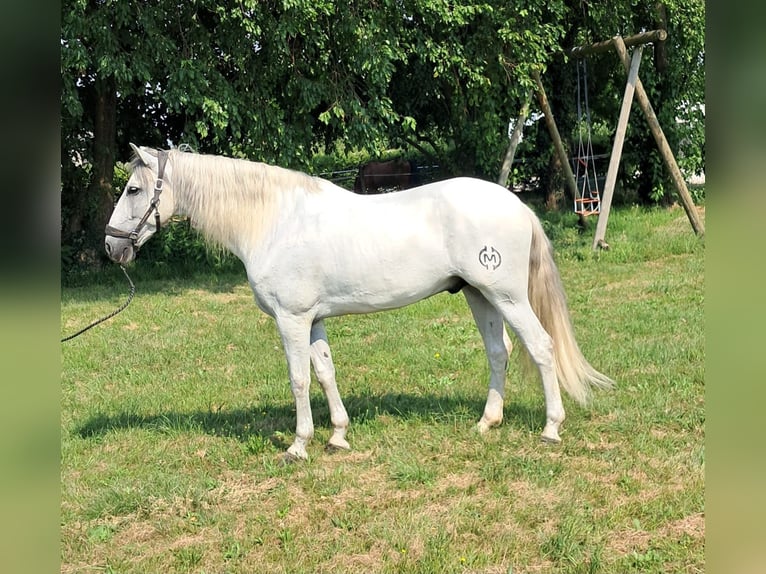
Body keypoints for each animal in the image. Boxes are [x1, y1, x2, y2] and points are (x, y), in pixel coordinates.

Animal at [105, 145, 616, 464]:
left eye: (134, 190)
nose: (112, 247)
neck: (274, 220)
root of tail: (517, 204)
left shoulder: (291, 320)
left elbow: (298, 379)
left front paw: (298, 446)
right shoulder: (312, 321)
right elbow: (325, 373)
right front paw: (338, 436)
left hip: (507, 296)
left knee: (542, 347)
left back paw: (551, 428)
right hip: (479, 295)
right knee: (500, 352)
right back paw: (486, 423)